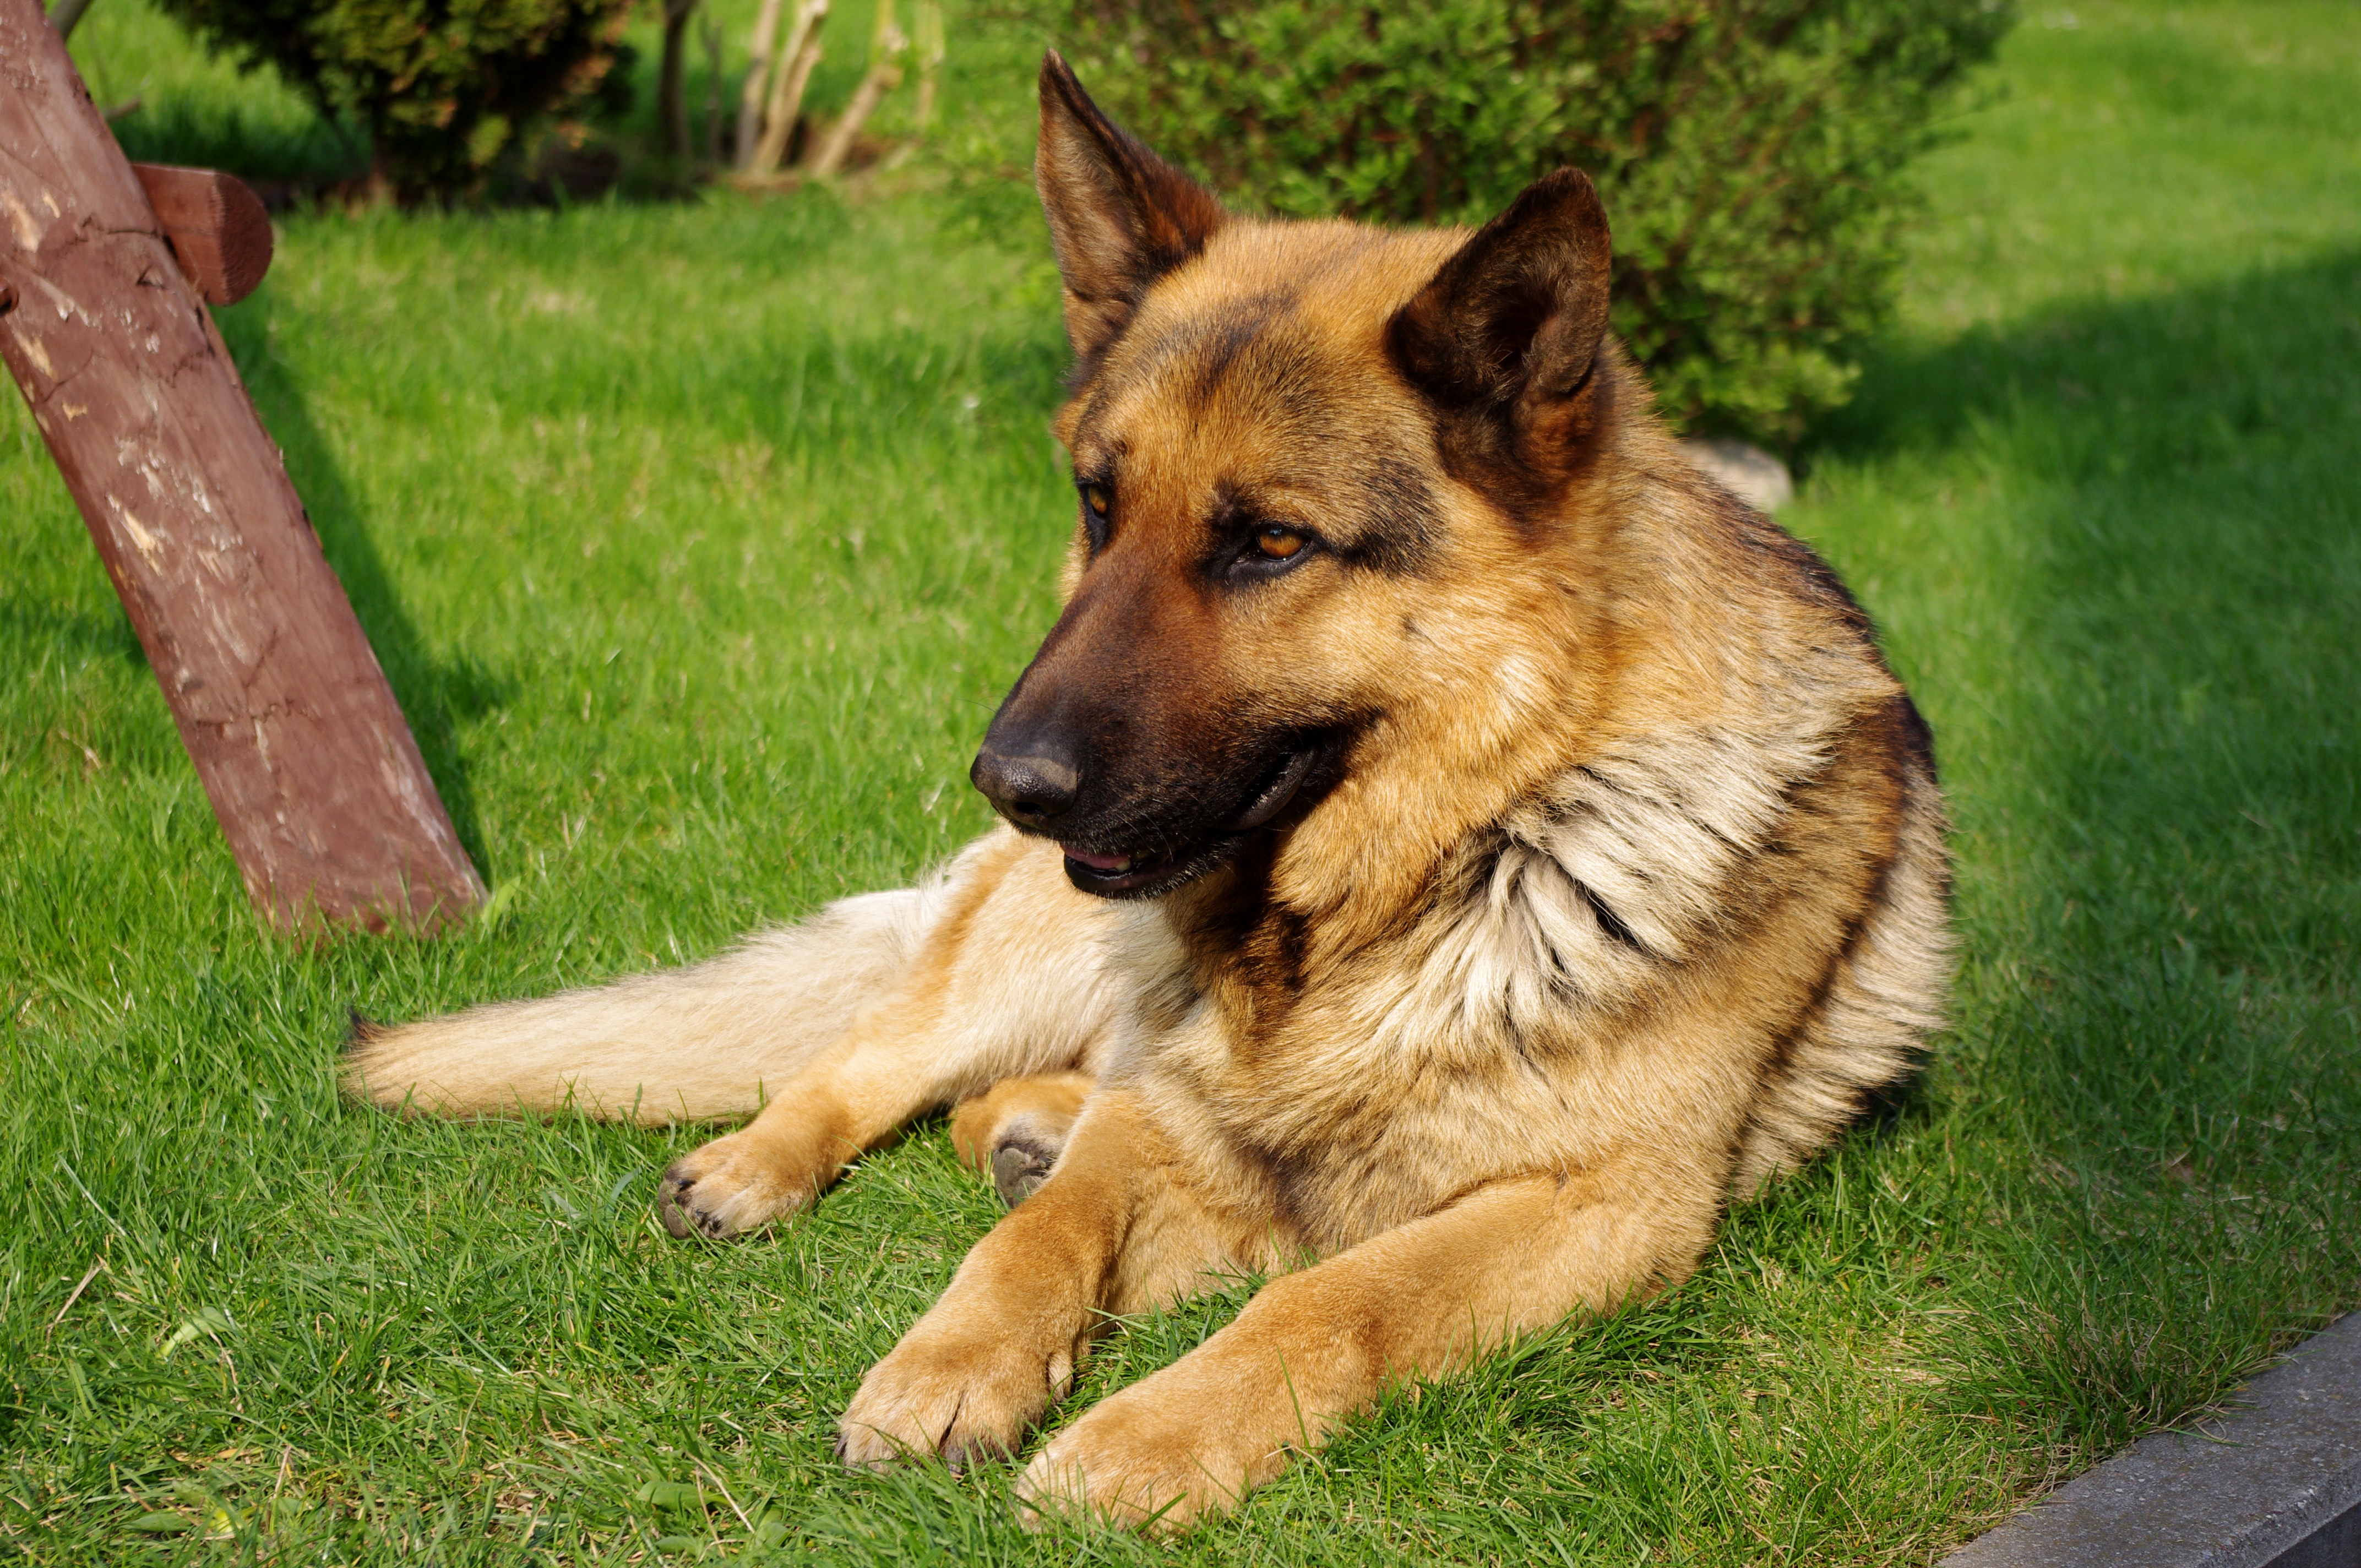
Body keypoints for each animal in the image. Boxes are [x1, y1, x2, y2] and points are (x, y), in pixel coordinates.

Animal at [345, 55, 1936, 1539]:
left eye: (1271, 544)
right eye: (1098, 504)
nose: (1009, 780)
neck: (1445, 861)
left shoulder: (1599, 1205)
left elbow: (1336, 1296)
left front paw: (1145, 1436)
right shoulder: (1160, 1119)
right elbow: (1040, 1238)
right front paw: (951, 1364)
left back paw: (1020, 1127)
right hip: (1031, 960)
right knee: (879, 1057)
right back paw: (765, 1160)